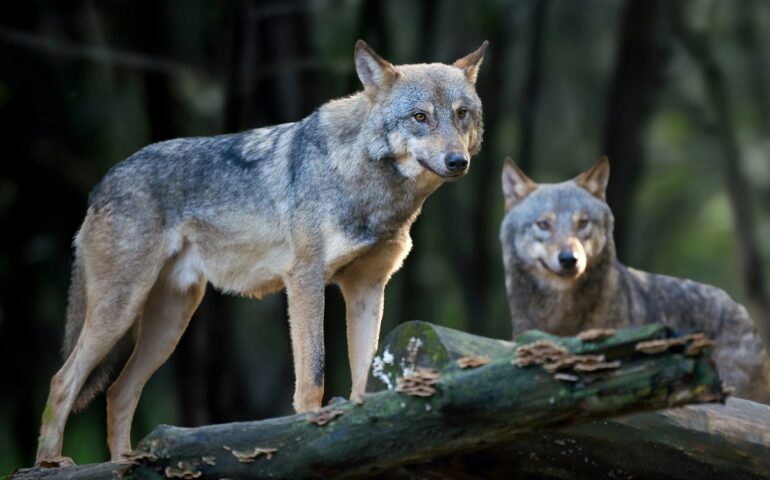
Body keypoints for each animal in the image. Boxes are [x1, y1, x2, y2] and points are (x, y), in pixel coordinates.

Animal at [36, 39, 486, 466]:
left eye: (461, 114)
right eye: (420, 117)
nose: (457, 161)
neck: (370, 184)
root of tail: (102, 183)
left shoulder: (367, 289)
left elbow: (364, 377)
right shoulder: (305, 280)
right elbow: (314, 375)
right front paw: (311, 434)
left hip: (171, 323)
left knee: (118, 392)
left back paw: (124, 461)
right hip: (121, 310)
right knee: (62, 381)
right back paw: (51, 462)